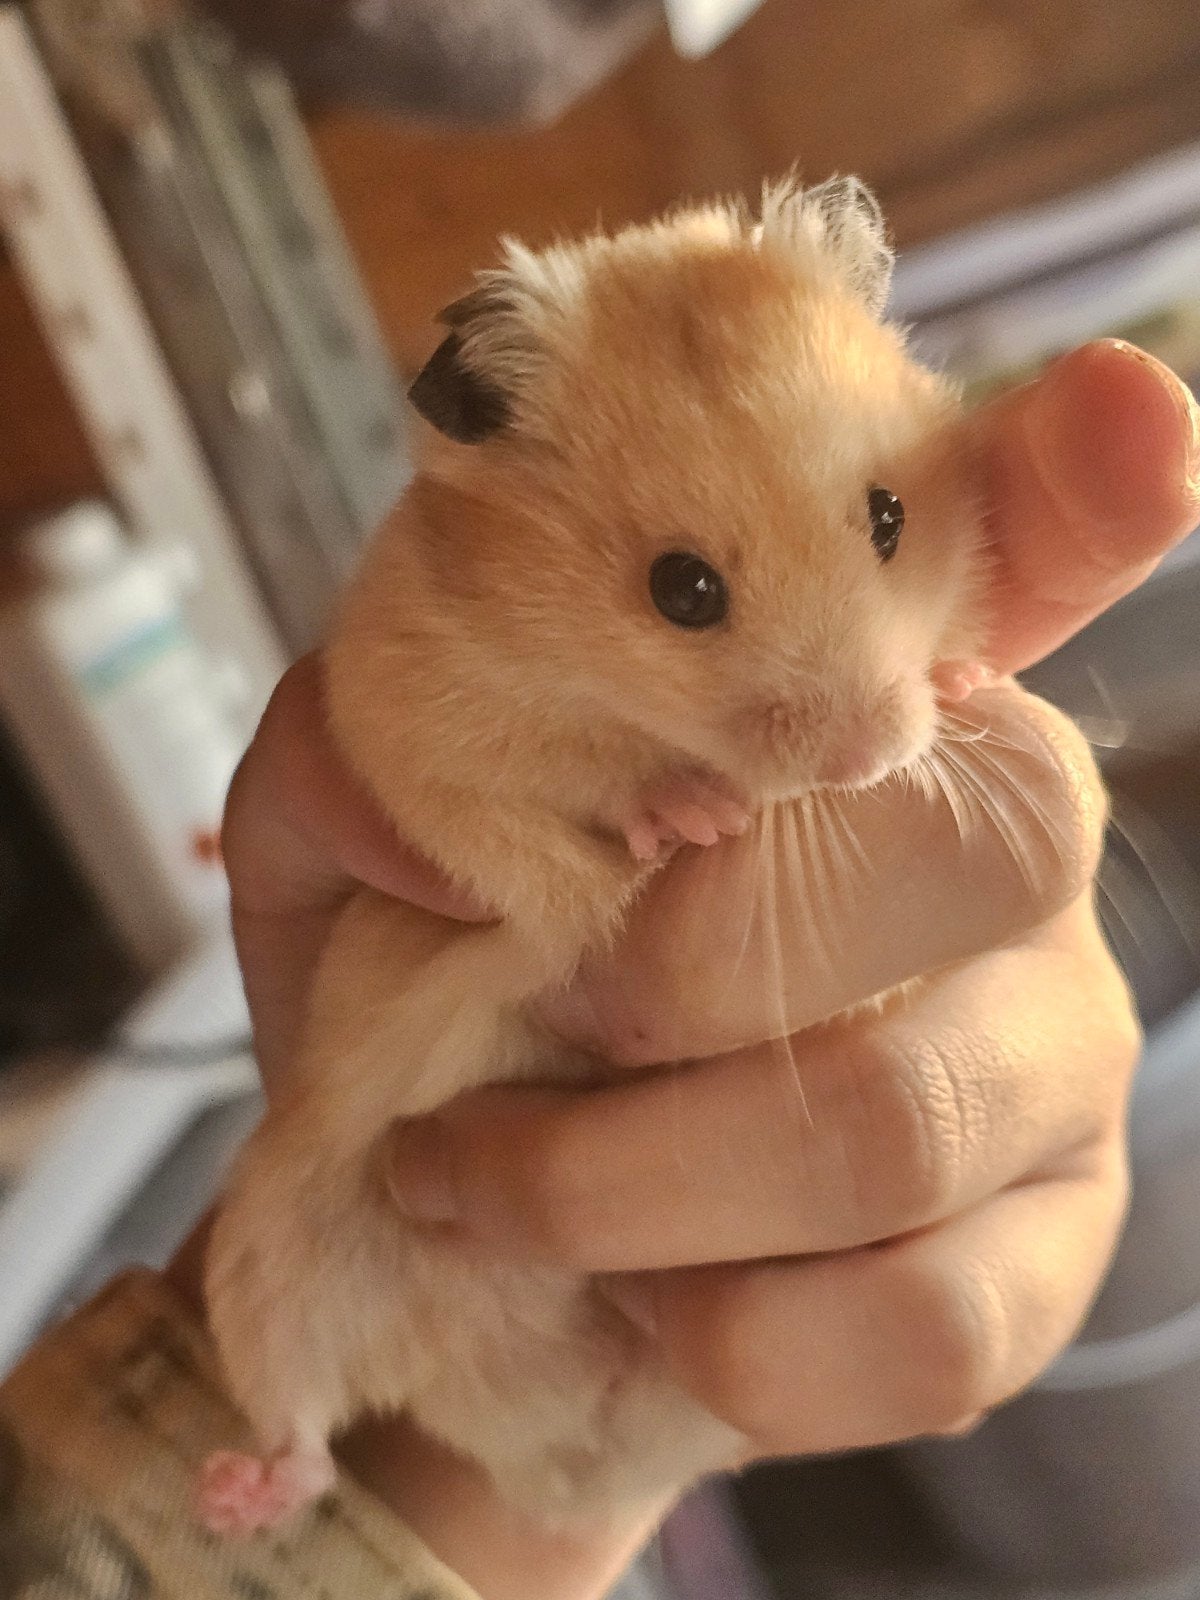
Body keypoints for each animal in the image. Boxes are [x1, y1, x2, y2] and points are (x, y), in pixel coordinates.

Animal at [199, 176, 986, 1536]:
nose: (872, 755)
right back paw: (230, 1497)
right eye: (682, 590)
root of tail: (554, 1451)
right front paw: (688, 820)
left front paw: (970, 681)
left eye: (890, 516)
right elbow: (553, 827)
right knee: (301, 1423)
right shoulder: (412, 732)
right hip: (267, 1256)